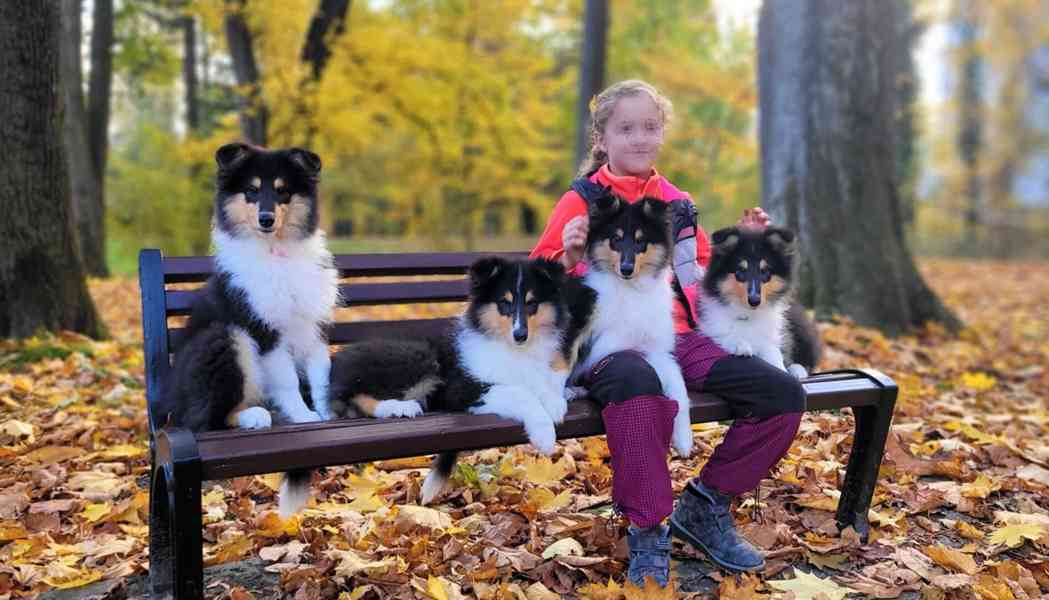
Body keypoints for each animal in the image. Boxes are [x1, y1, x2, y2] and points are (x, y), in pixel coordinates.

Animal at [158, 142, 335, 434]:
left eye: (282, 191)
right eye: (252, 190)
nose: (266, 219)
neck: (276, 252)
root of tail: (169, 407)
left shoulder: (313, 324)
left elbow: (322, 372)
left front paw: (329, 412)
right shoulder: (263, 328)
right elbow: (288, 380)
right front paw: (304, 416)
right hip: (224, 337)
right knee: (207, 419)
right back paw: (254, 416)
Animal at [579, 194, 692, 457]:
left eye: (641, 242)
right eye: (616, 239)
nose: (626, 268)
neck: (631, 289)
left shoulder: (657, 350)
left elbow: (679, 389)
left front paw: (684, 440)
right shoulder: (606, 347)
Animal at [700, 227, 822, 377]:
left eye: (765, 271)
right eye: (740, 271)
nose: (754, 301)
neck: (749, 314)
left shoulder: (771, 337)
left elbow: (773, 352)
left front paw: (781, 367)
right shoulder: (709, 325)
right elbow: (722, 333)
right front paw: (740, 345)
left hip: (802, 328)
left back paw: (798, 370)